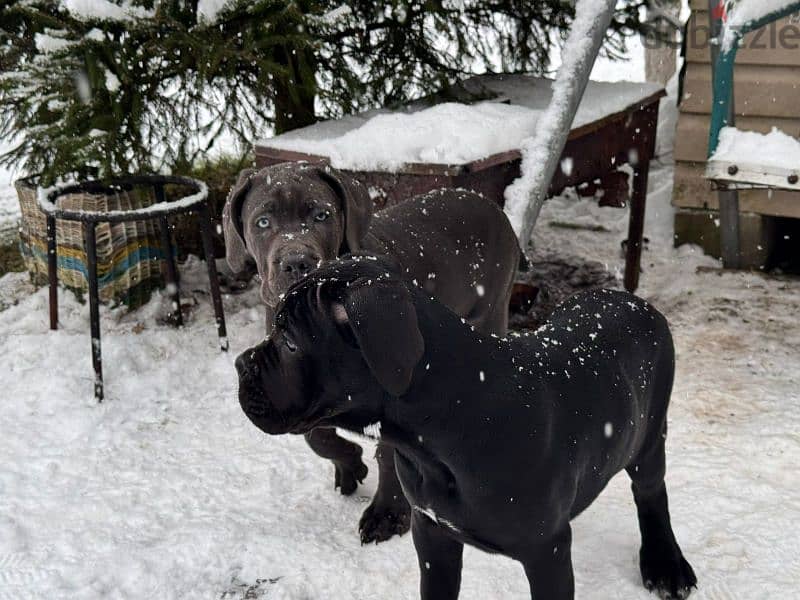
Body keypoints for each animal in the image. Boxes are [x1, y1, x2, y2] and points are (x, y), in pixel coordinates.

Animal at [225, 163, 524, 544]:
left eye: (321, 215)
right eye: (263, 222)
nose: (297, 261)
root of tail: (489, 204)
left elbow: (388, 454)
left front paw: (388, 513)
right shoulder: (294, 376)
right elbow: (315, 434)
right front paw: (350, 463)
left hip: (492, 310)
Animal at [234, 256, 696, 600]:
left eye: (290, 343)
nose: (239, 363)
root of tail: (632, 300)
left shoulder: (546, 551)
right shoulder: (431, 533)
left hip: (650, 434)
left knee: (651, 493)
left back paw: (665, 564)